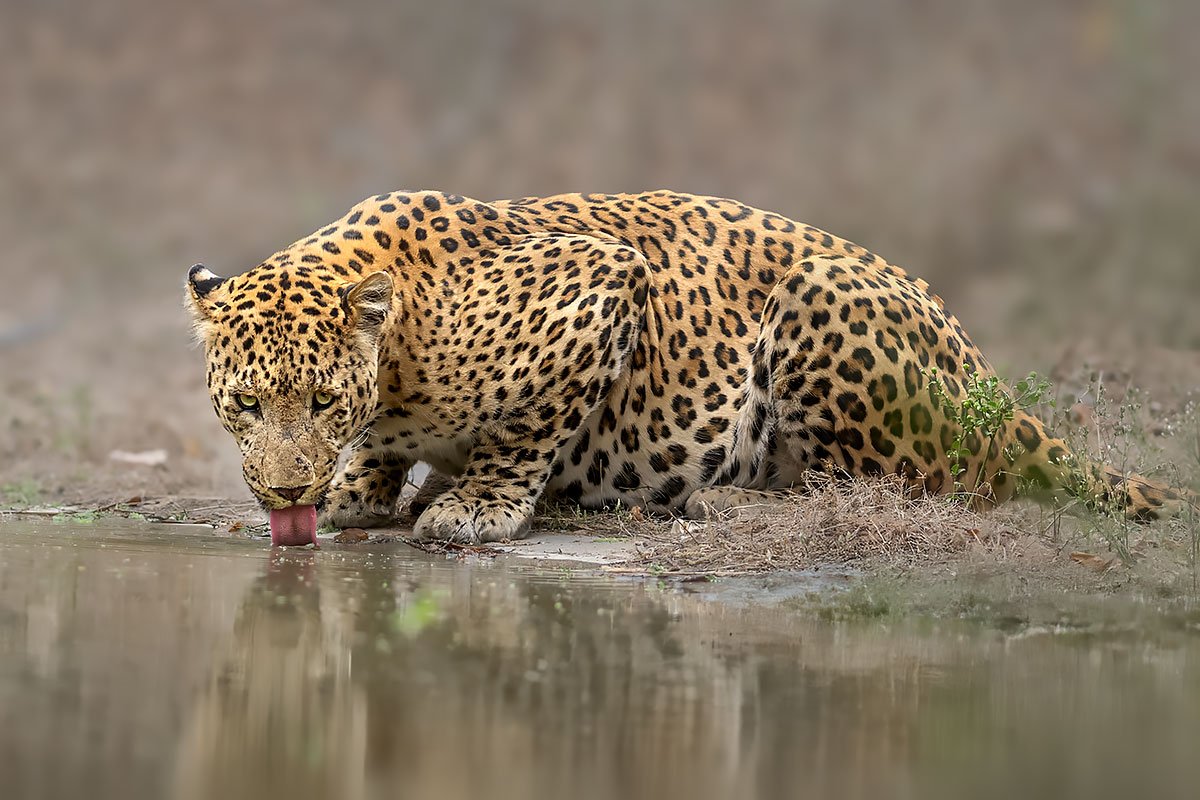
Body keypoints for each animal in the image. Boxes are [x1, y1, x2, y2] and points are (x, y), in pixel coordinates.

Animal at [185, 190, 1191, 546]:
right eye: (247, 405)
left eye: (322, 400)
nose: (287, 493)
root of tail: (992, 386)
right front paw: (359, 487)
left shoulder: (602, 283)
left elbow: (527, 428)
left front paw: (477, 505)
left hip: (820, 305)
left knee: (911, 490)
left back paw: (720, 502)